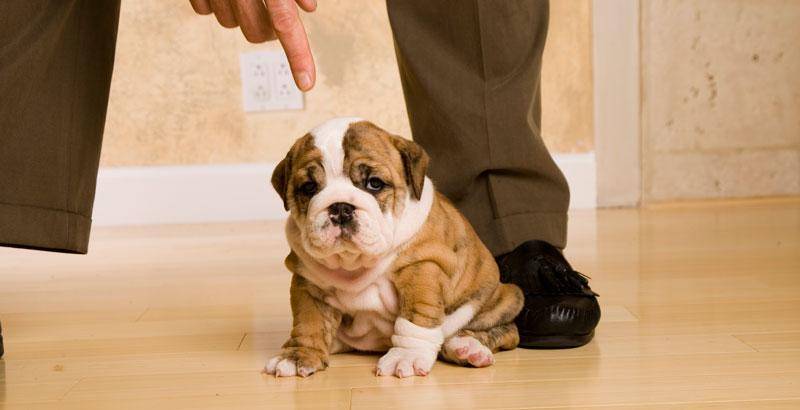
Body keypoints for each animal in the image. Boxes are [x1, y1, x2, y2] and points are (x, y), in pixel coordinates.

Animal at [264, 116, 524, 378]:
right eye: (309, 188)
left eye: (374, 184)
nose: (340, 207)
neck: (354, 262)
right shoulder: (308, 282)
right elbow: (309, 322)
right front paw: (298, 355)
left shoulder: (422, 267)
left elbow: (416, 319)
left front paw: (407, 355)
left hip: (502, 298)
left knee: (506, 331)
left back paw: (467, 347)